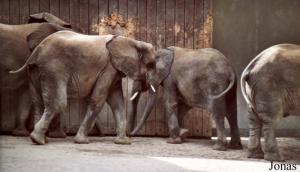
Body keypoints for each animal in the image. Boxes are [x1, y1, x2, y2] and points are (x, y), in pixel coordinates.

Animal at [9, 29, 156, 145]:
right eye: (150, 65)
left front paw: (123, 142)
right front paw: (82, 141)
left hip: (35, 71)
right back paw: (38, 140)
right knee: (59, 103)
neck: (132, 41)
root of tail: (36, 51)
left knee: (38, 102)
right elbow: (99, 99)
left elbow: (117, 101)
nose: (131, 136)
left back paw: (39, 139)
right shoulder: (108, 68)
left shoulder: (114, 71)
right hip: (53, 69)